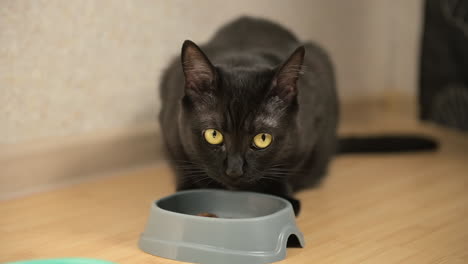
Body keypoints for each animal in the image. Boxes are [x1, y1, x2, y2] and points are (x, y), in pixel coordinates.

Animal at [159, 16, 436, 216]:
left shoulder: (309, 129)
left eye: (262, 139)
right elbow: (184, 166)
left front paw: (283, 194)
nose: (234, 171)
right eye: (213, 135)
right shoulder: (171, 130)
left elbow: (285, 169)